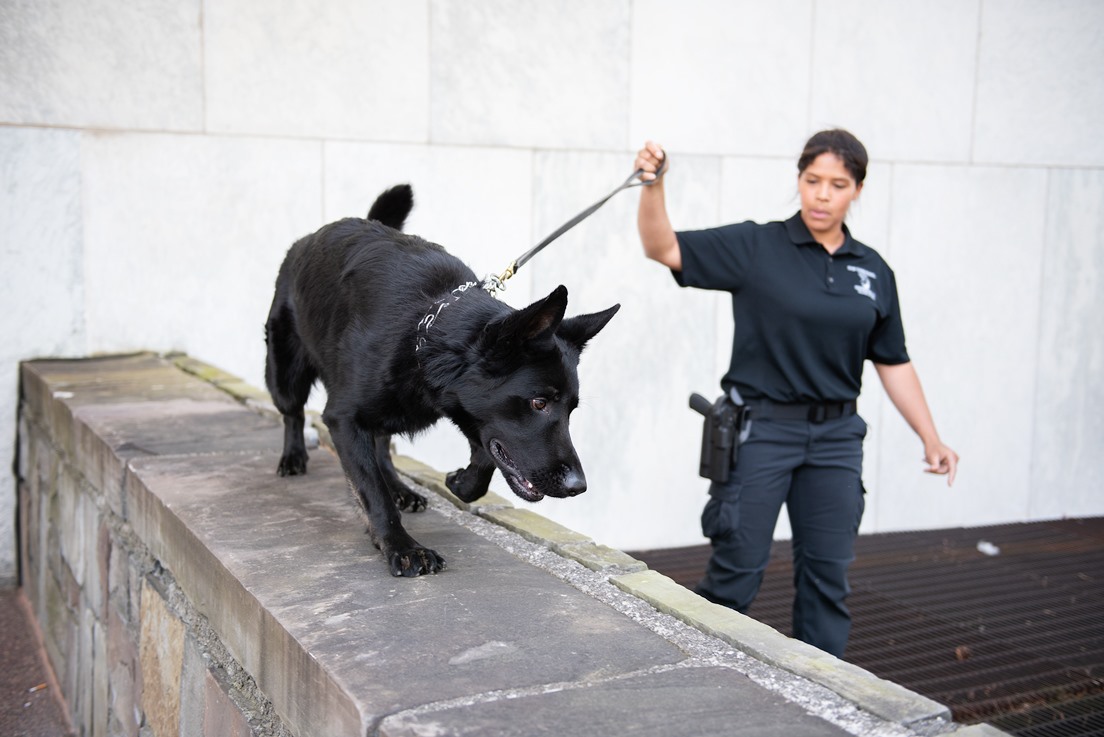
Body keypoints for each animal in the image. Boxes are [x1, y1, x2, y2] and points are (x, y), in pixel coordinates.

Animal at [262, 184, 618, 573]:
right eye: (539, 403)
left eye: (571, 410)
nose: (578, 486)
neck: (426, 328)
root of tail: (307, 241)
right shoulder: (343, 418)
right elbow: (371, 490)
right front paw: (401, 546)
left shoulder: (471, 414)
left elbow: (484, 458)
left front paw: (460, 483)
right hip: (285, 374)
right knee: (293, 413)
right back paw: (294, 457)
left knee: (382, 442)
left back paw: (399, 488)